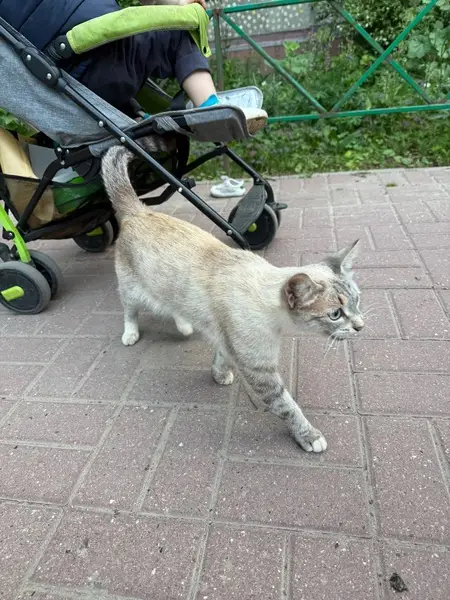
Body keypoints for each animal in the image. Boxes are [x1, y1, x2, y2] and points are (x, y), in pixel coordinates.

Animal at [101, 145, 364, 453]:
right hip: (132, 290)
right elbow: (286, 405)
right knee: (129, 311)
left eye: (357, 301)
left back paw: (184, 326)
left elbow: (221, 357)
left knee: (175, 308)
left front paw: (219, 374)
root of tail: (139, 210)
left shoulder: (228, 341)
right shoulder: (259, 369)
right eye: (335, 314)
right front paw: (309, 436)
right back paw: (131, 334)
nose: (360, 326)